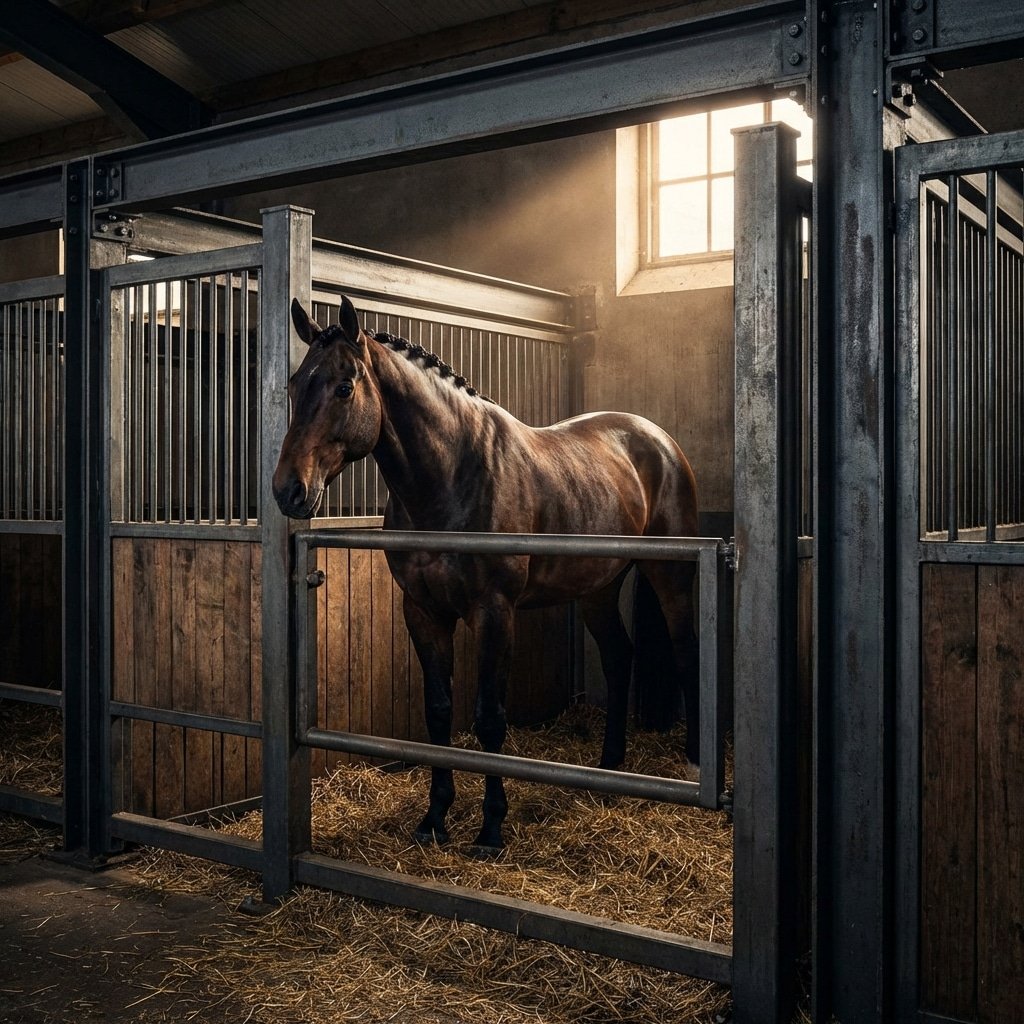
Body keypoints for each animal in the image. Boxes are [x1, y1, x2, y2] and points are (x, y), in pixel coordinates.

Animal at [273, 296, 700, 856]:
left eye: (344, 386)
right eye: (295, 385)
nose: (288, 490)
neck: (454, 476)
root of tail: (658, 438)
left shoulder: (493, 612)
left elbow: (489, 718)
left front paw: (491, 829)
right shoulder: (423, 611)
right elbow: (438, 711)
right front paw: (434, 819)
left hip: (671, 576)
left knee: (685, 652)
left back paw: (692, 766)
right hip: (597, 588)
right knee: (617, 656)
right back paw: (609, 768)